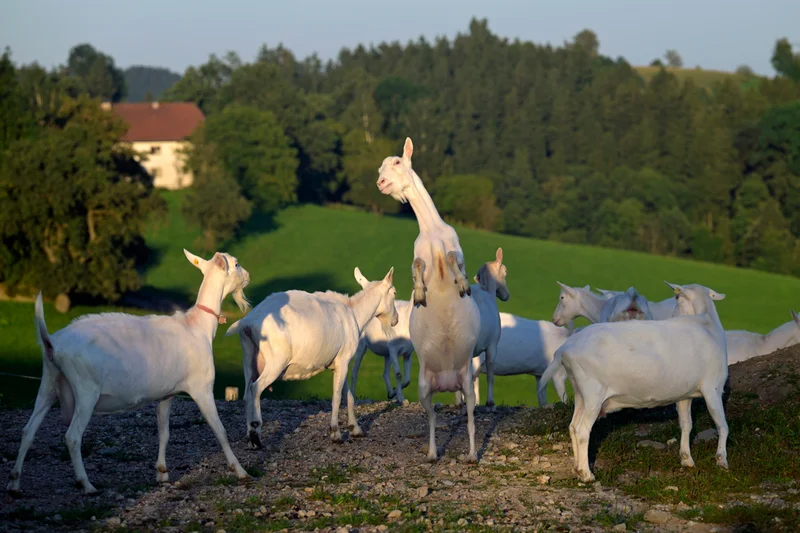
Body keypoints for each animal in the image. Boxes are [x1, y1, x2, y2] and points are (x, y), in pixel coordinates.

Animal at [7, 250, 251, 494]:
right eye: (237, 264)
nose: (248, 276)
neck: (197, 326)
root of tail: (53, 343)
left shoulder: (168, 393)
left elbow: (164, 431)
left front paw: (162, 473)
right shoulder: (202, 388)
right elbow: (220, 430)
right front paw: (240, 471)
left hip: (48, 382)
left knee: (28, 431)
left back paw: (14, 483)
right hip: (85, 390)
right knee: (72, 436)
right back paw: (86, 484)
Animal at [226, 267, 397, 448]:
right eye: (394, 292)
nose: (396, 320)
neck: (354, 313)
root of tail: (248, 322)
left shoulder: (338, 362)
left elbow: (348, 395)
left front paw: (355, 429)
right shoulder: (344, 359)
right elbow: (337, 396)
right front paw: (335, 433)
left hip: (249, 356)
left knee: (246, 394)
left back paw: (250, 437)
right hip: (276, 360)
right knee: (256, 388)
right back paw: (256, 435)